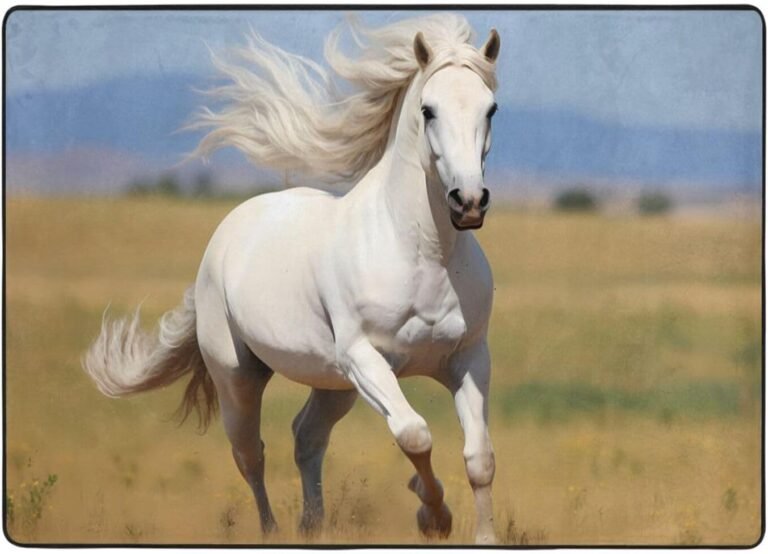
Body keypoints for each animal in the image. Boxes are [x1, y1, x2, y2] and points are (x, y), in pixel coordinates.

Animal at [83, 14, 501, 544]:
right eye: (428, 110)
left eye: (491, 108)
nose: (468, 202)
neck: (423, 253)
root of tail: (224, 236)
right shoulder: (364, 358)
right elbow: (414, 433)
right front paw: (433, 515)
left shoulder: (468, 359)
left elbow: (479, 458)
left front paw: (471, 530)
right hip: (240, 378)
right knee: (251, 455)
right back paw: (272, 530)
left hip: (333, 385)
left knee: (306, 437)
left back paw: (312, 525)